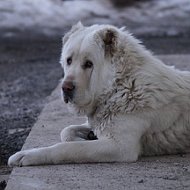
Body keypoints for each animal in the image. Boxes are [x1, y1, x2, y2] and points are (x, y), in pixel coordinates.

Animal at [8, 21, 190, 166]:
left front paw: (27, 155)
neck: (119, 85)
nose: (65, 88)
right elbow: (66, 131)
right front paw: (85, 136)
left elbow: (68, 147)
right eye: (68, 60)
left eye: (89, 64)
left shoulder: (119, 147)